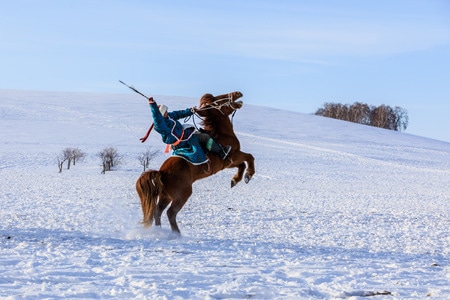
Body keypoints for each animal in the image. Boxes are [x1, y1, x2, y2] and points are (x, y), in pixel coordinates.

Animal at [135, 91, 255, 234]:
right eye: (219, 99)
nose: (237, 93)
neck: (223, 134)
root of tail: (161, 172)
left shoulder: (229, 163)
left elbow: (242, 164)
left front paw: (235, 180)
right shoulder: (234, 155)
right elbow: (249, 157)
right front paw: (248, 175)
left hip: (166, 196)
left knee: (158, 211)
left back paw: (160, 230)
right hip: (182, 194)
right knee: (170, 213)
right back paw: (177, 234)